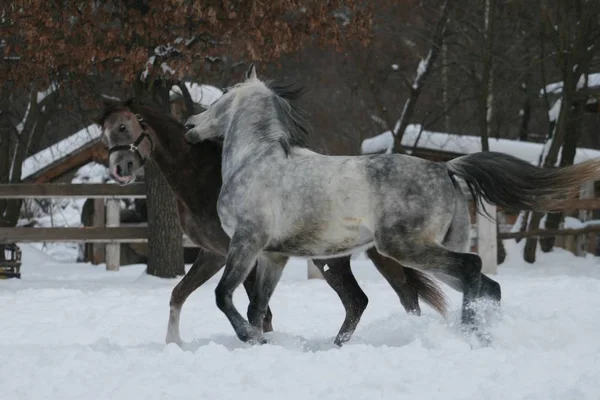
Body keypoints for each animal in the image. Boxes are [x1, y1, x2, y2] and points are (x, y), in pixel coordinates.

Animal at [185, 65, 600, 344]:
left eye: (220, 98)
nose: (189, 125)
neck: (256, 160)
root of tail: (445, 168)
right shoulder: (274, 255)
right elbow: (258, 306)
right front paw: (258, 341)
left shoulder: (247, 242)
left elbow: (224, 296)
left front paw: (246, 337)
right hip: (428, 249)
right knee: (488, 284)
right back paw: (484, 336)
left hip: (404, 248)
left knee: (471, 269)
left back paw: (468, 331)